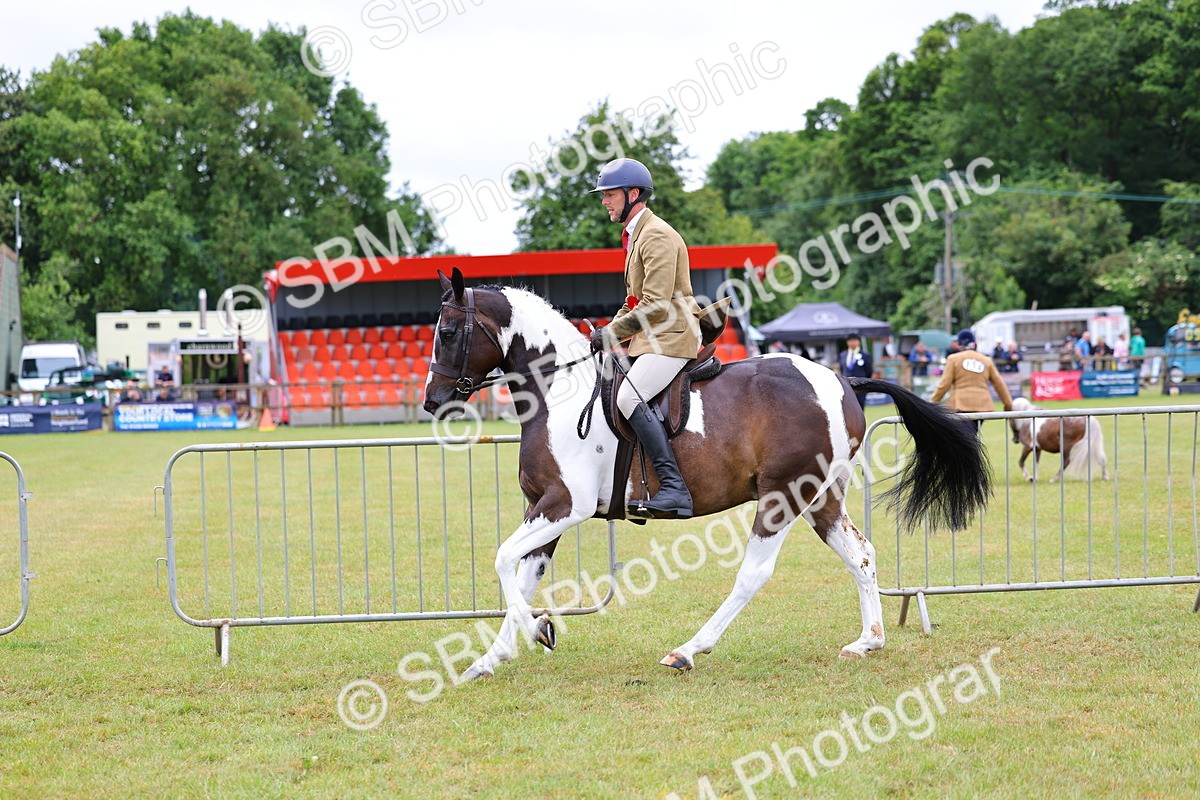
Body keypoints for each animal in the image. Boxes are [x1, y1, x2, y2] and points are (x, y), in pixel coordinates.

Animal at [422, 268, 991, 679]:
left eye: (447, 332)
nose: (431, 401)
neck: (557, 389)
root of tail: (842, 380)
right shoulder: (543, 506)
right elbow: (521, 572)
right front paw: (491, 658)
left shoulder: (565, 505)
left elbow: (502, 561)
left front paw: (538, 629)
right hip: (821, 497)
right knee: (861, 554)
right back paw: (868, 640)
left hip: (782, 495)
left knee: (754, 574)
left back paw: (688, 650)